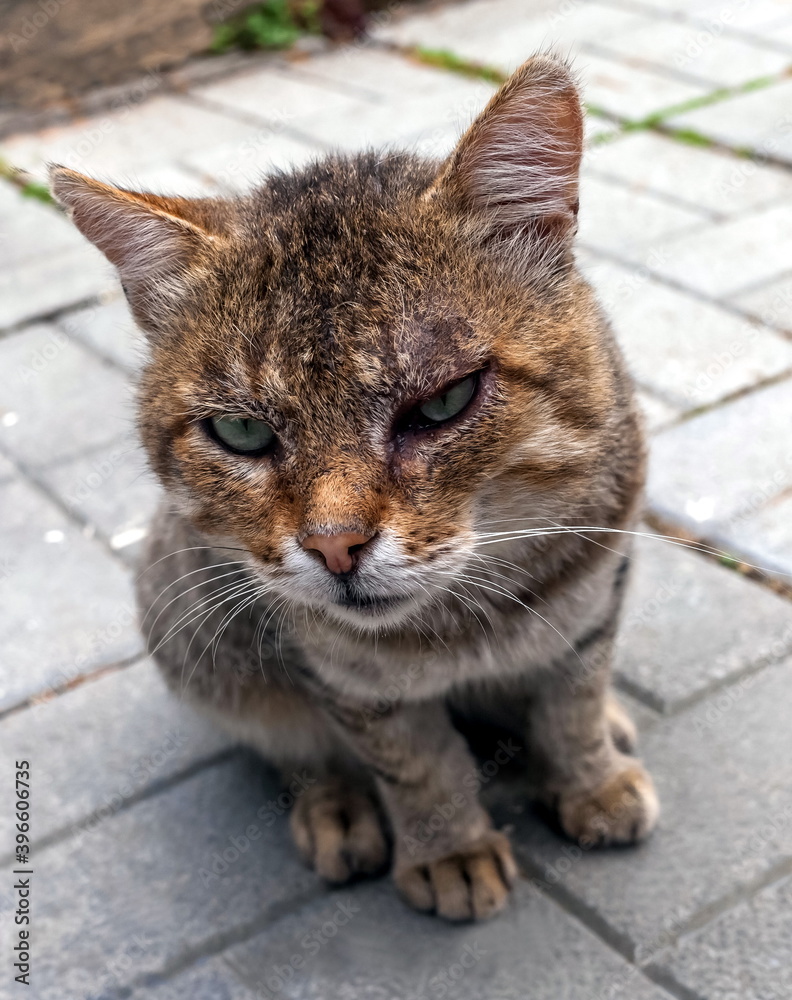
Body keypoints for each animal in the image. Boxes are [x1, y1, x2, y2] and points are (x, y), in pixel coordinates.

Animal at [51, 54, 664, 920]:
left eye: (444, 400)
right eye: (241, 432)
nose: (334, 547)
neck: (460, 627)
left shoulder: (594, 592)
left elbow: (571, 702)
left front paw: (591, 779)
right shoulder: (347, 680)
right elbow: (416, 763)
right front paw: (449, 849)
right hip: (196, 635)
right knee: (294, 746)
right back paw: (335, 808)